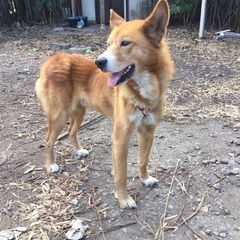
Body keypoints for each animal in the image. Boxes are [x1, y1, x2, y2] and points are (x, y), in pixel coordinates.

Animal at [35, 0, 172, 207]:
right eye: (108, 44)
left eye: (125, 43)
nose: (98, 62)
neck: (143, 91)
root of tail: (54, 58)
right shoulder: (121, 137)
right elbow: (122, 174)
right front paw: (124, 199)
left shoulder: (148, 132)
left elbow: (143, 160)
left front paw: (145, 178)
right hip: (59, 115)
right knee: (48, 140)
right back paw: (50, 165)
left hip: (79, 112)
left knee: (71, 131)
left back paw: (79, 151)